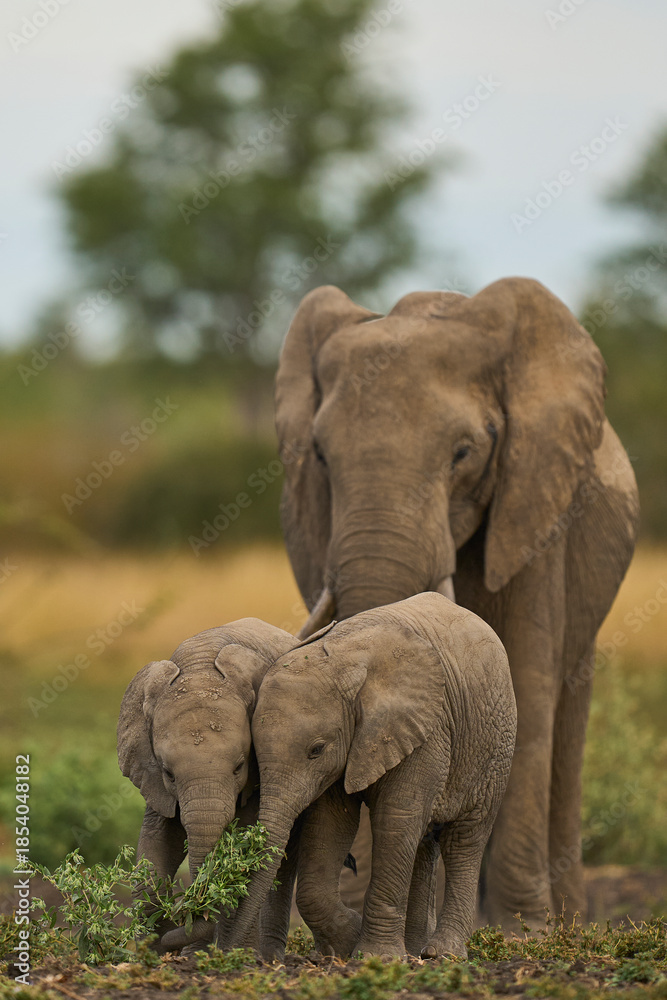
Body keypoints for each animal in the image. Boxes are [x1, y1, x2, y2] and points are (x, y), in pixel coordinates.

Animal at [117, 617, 296, 956]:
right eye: (168, 773)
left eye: (239, 767)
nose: (180, 913)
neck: (200, 667)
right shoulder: (154, 779)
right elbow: (157, 841)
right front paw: (153, 949)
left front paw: (233, 954)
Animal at [220, 593, 517, 960]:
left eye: (316, 750)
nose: (230, 951)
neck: (341, 663)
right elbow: (331, 822)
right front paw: (347, 943)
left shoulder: (426, 731)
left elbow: (395, 819)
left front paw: (376, 956)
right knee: (425, 843)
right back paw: (415, 950)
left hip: (495, 748)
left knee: (464, 839)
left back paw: (442, 953)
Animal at [274, 277, 639, 930]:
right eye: (318, 455)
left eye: (464, 453)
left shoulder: (535, 505)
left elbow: (526, 680)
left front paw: (522, 930)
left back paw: (564, 919)